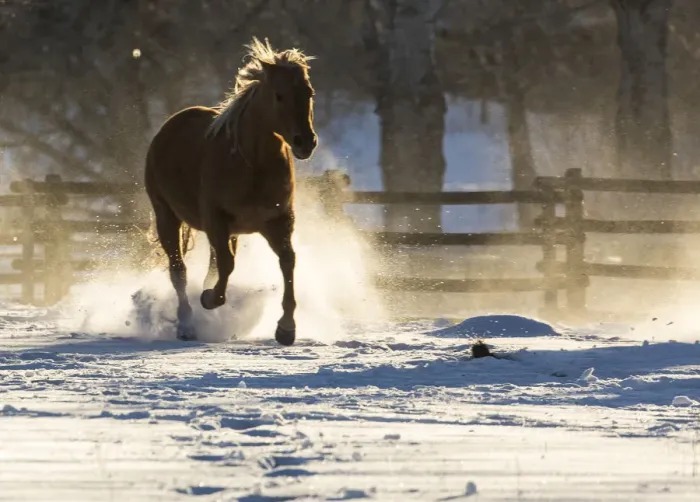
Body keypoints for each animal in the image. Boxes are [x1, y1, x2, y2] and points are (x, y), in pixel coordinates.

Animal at [144, 37, 317, 346]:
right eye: (279, 95)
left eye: (308, 93)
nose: (305, 142)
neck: (253, 166)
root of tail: (168, 127)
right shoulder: (216, 219)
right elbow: (226, 264)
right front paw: (210, 298)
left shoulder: (278, 221)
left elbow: (287, 261)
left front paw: (286, 328)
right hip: (166, 216)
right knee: (179, 271)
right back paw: (186, 325)